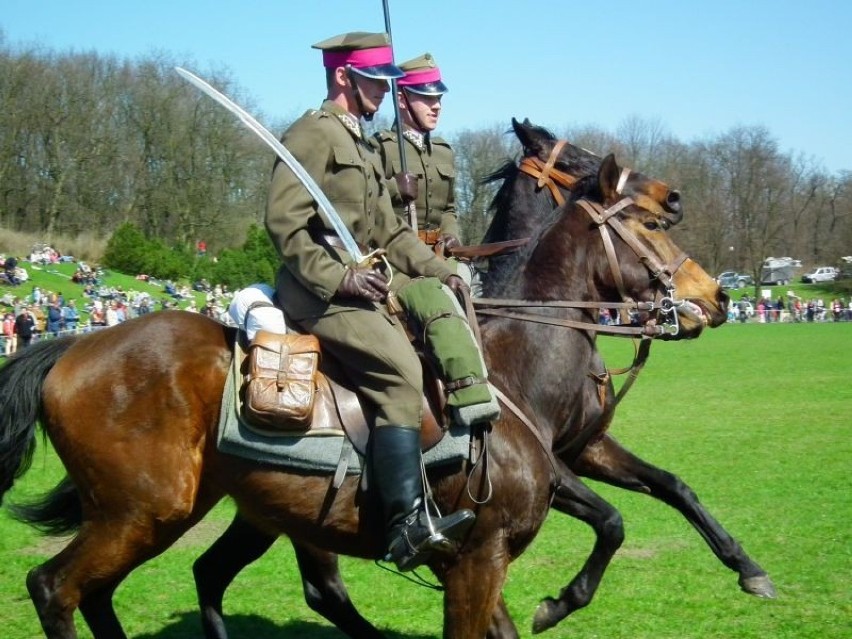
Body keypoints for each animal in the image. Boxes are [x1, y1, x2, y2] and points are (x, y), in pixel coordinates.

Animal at [3, 152, 728, 636]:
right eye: (648, 225)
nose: (717, 295)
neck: (509, 371)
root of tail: (76, 346)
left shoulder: (516, 527)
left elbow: (642, 502)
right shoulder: (476, 563)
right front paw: (560, 601)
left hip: (197, 511)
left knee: (138, 586)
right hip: (141, 512)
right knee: (55, 587)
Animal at [183, 120, 776, 639]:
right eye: (580, 162)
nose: (717, 297)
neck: (525, 340)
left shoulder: (584, 449)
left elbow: (671, 488)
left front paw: (747, 566)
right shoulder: (554, 472)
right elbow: (611, 519)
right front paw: (558, 603)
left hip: (262, 509)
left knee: (216, 572)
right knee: (319, 587)